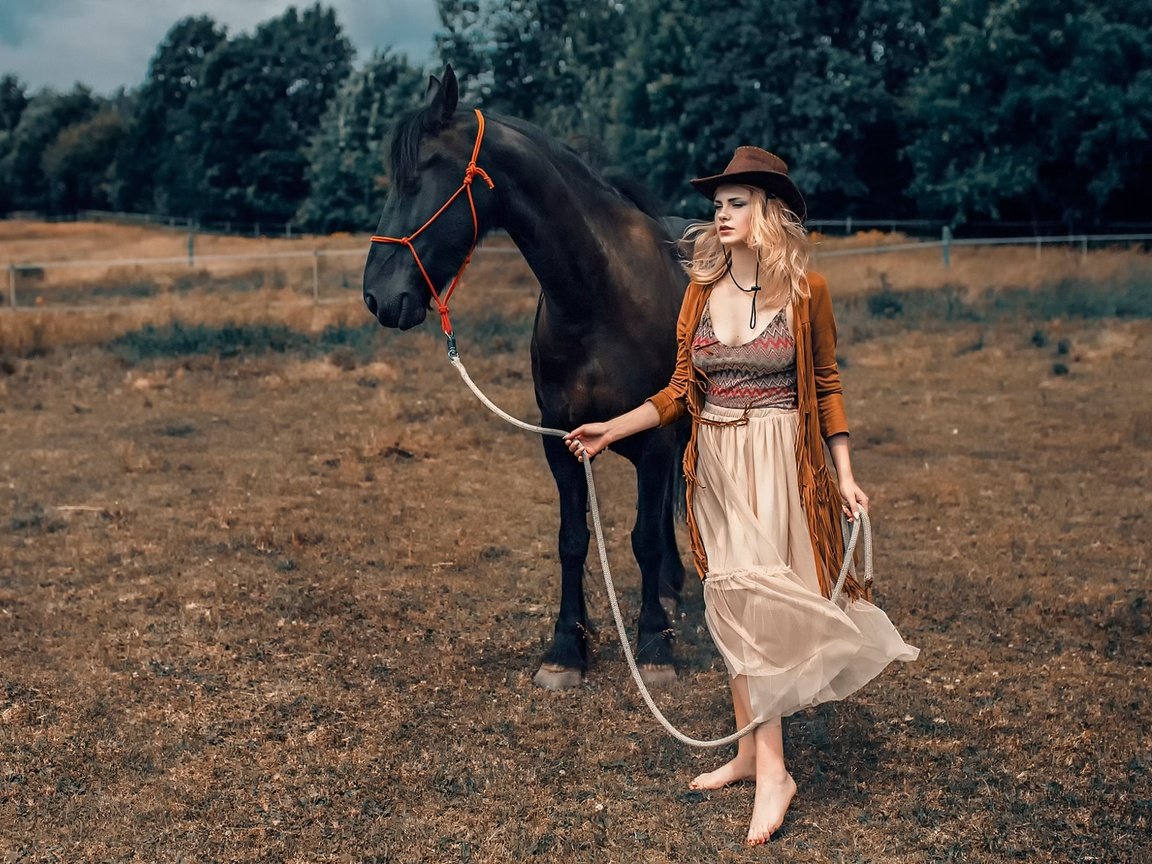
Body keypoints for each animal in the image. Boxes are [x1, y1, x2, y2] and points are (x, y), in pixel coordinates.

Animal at [361, 65, 681, 691]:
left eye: (419, 174)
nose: (377, 296)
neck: (599, 298)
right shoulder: (559, 438)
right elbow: (572, 540)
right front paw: (566, 649)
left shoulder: (655, 440)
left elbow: (647, 538)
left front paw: (655, 644)